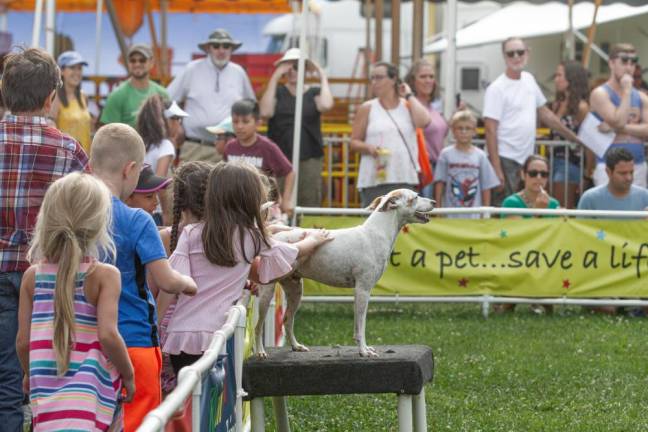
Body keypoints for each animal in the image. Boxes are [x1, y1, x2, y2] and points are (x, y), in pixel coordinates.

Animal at [254, 189, 436, 358]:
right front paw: (363, 351)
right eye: (415, 197)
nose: (434, 202)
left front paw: (366, 349)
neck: (376, 233)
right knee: (258, 326)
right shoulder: (362, 290)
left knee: (287, 320)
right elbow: (360, 327)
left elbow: (361, 325)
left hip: (295, 291)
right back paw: (260, 351)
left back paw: (296, 346)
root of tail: (274, 236)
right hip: (266, 293)